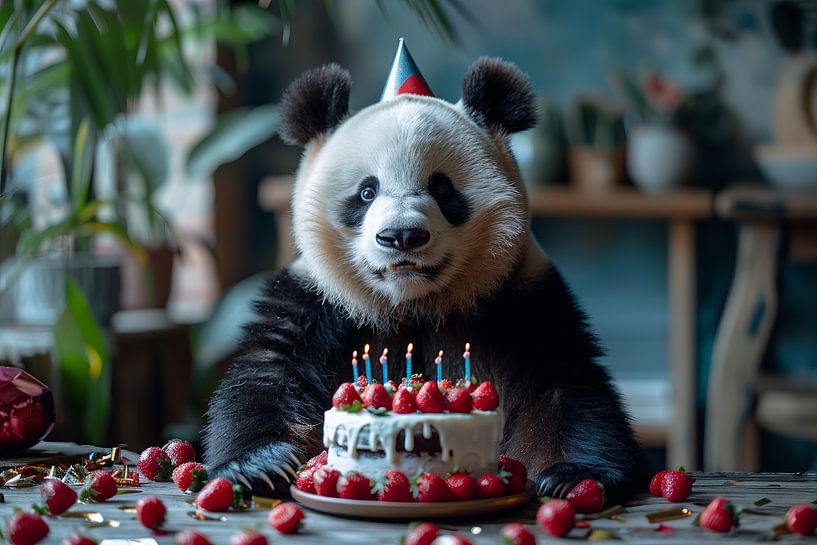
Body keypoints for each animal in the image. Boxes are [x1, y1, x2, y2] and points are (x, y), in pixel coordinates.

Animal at [203, 57, 645, 503]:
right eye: (367, 192)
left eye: (443, 188)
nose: (402, 236)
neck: (414, 305)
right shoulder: (315, 302)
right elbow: (267, 375)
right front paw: (258, 465)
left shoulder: (523, 297)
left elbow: (564, 383)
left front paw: (576, 477)